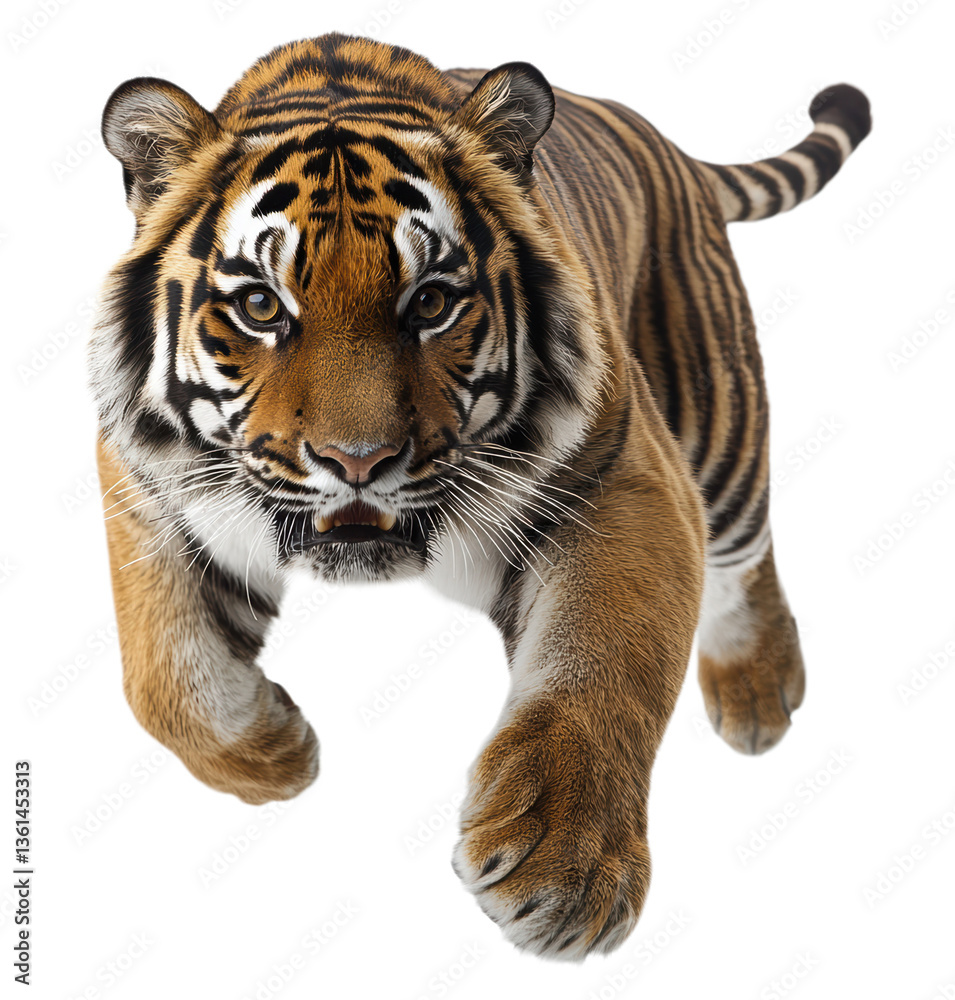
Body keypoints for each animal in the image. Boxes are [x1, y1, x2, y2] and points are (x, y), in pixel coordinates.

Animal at [89, 32, 870, 960]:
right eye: (259, 306)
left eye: (430, 302)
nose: (358, 461)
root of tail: (664, 142)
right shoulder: (148, 494)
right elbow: (162, 680)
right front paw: (279, 757)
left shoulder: (622, 480)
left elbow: (604, 663)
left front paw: (565, 870)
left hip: (716, 424)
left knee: (747, 548)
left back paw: (757, 692)